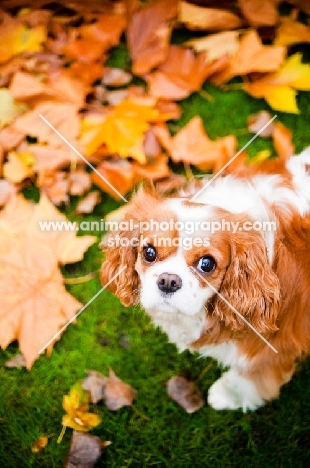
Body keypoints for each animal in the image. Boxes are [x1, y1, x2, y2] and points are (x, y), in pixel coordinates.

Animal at [101, 148, 310, 412]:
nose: (168, 280)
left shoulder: (270, 352)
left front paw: (225, 395)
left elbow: (244, 380)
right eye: (149, 252)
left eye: (206, 264)